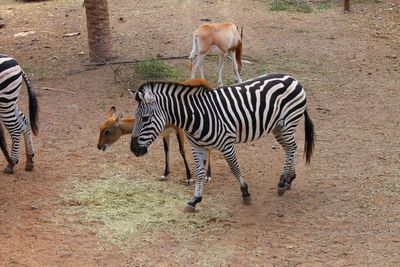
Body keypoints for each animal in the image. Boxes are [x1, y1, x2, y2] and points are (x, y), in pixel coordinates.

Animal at [130, 74, 316, 214]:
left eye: (145, 118)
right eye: (136, 117)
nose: (133, 149)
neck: (196, 116)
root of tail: (292, 78)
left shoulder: (226, 144)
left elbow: (234, 168)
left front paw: (245, 192)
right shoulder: (197, 147)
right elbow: (199, 173)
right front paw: (195, 200)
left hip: (287, 123)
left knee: (292, 148)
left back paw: (282, 182)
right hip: (278, 127)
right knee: (289, 149)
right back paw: (289, 179)